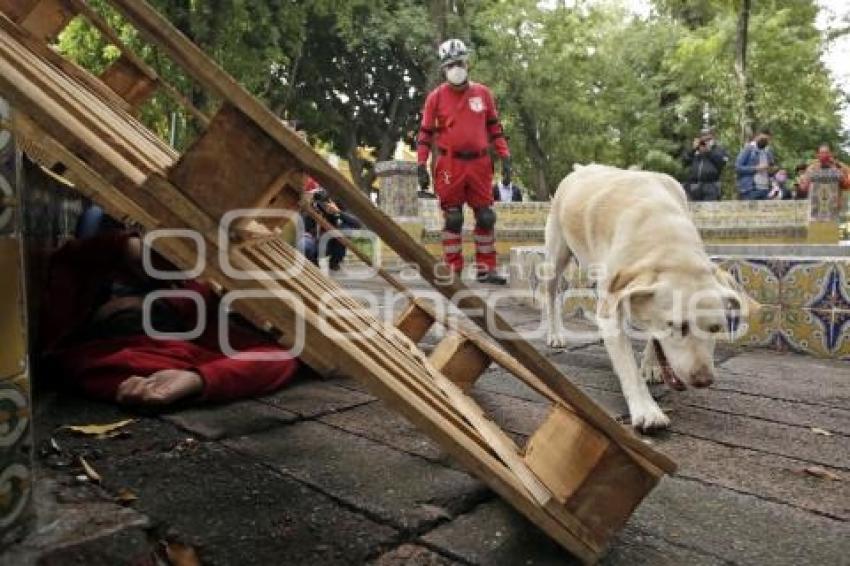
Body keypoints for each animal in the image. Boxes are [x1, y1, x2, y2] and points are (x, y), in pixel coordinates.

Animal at [544, 166, 748, 432]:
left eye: (715, 328)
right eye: (676, 326)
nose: (703, 380)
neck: (666, 238)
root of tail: (581, 167)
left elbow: (652, 337)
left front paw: (650, 366)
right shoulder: (614, 304)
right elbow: (628, 368)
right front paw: (647, 410)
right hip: (555, 259)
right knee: (551, 295)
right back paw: (555, 335)